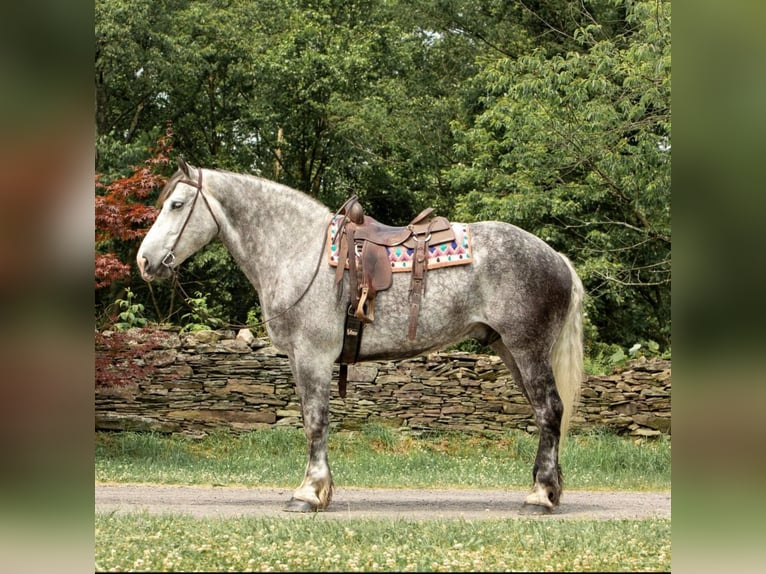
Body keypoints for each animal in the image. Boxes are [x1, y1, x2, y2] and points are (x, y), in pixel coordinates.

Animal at [138, 158, 584, 512]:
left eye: (177, 205)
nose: (144, 261)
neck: (300, 252)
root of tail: (556, 258)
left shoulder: (313, 356)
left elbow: (315, 422)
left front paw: (309, 493)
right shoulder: (302, 359)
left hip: (528, 350)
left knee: (550, 411)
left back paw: (540, 497)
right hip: (510, 350)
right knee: (545, 415)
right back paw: (547, 489)